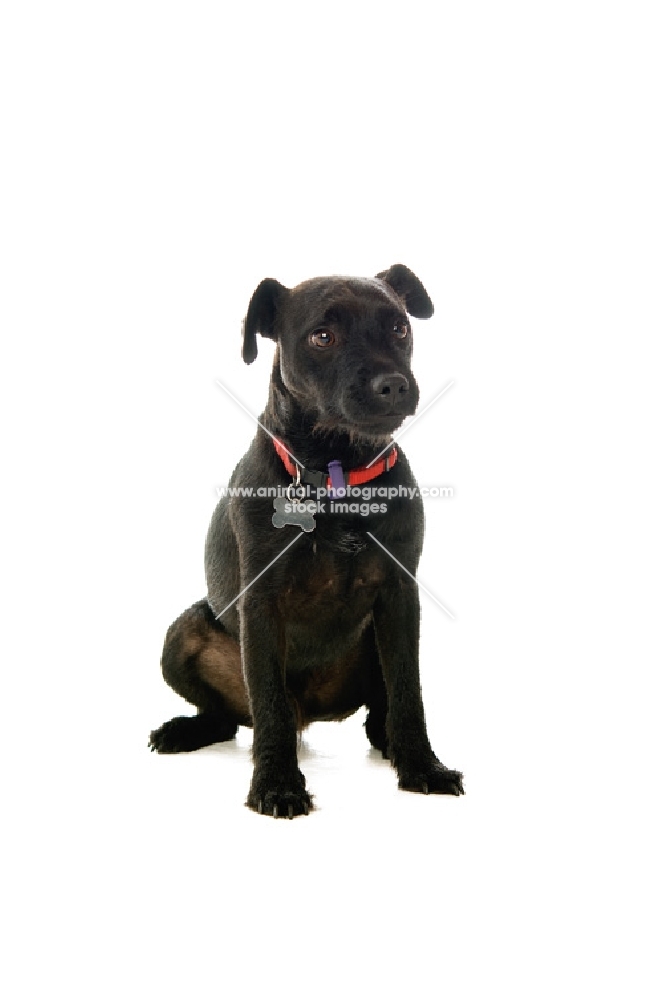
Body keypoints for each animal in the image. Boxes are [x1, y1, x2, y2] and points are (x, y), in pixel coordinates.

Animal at [149, 262, 462, 816]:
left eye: (399, 328)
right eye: (322, 336)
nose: (393, 384)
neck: (338, 475)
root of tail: (310, 715)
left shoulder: (400, 598)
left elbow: (409, 693)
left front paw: (422, 767)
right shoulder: (261, 604)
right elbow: (268, 702)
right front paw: (276, 784)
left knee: (378, 712)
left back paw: (387, 742)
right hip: (182, 633)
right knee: (234, 717)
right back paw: (187, 730)